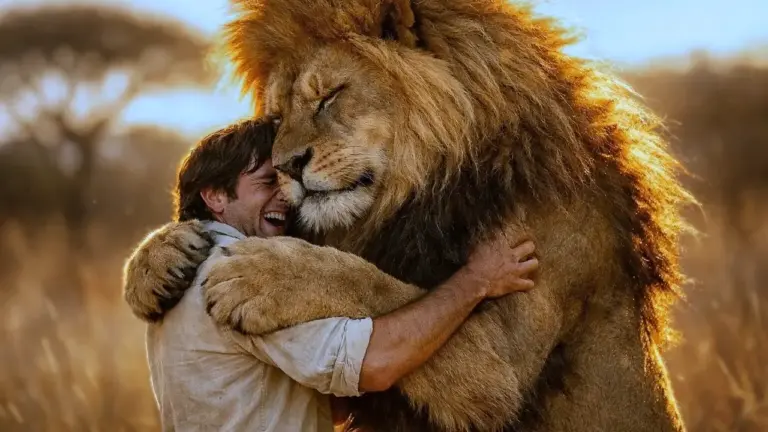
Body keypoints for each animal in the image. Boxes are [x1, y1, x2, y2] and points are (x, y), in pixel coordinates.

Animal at [123, 0, 693, 431]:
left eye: (330, 96)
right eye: (278, 117)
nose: (287, 166)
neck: (424, 192)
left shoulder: (501, 366)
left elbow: (378, 286)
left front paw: (262, 275)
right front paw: (154, 262)